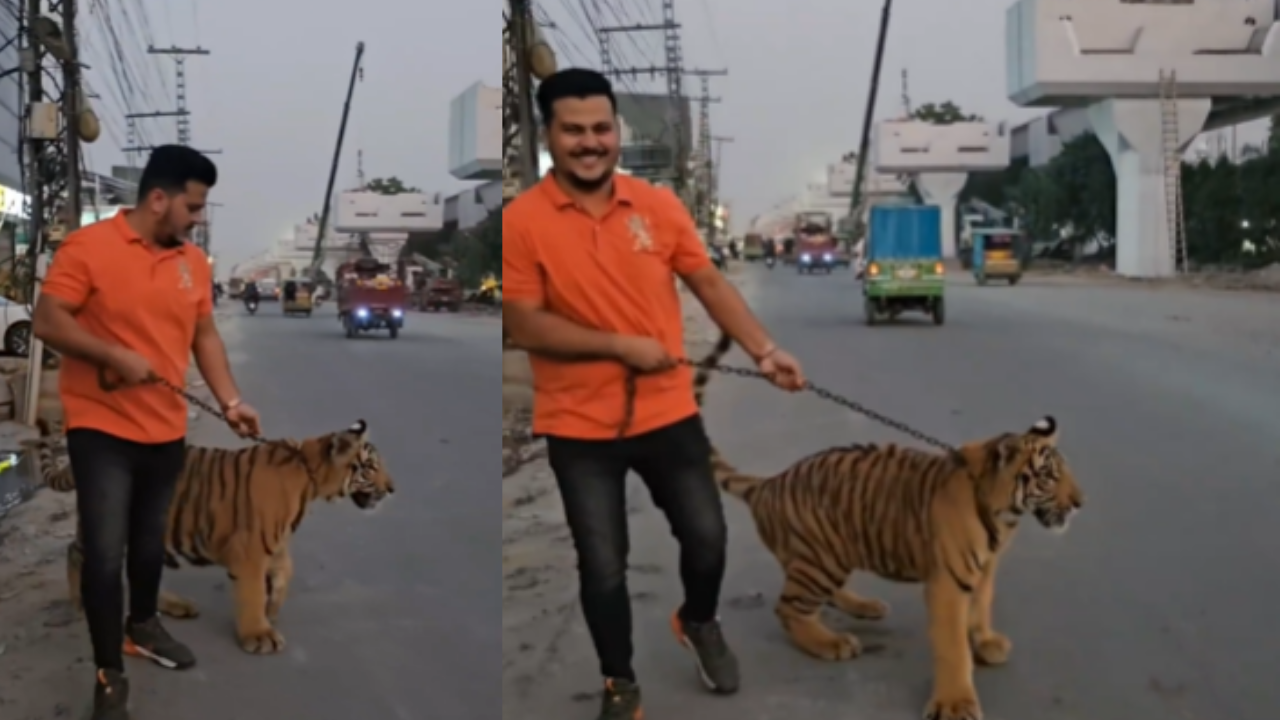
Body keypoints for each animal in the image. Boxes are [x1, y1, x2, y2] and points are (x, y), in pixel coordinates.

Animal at [22, 417, 391, 653]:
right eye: (371, 467)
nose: (392, 489)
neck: (310, 477)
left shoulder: (273, 544)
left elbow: (285, 572)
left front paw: (272, 608)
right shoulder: (250, 551)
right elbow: (251, 594)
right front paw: (259, 635)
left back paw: (174, 606)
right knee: (75, 552)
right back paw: (79, 603)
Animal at [696, 335, 1085, 717]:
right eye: (1049, 477)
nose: (1081, 502)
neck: (1003, 516)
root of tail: (769, 482)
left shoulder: (985, 568)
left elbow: (981, 606)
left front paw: (986, 641)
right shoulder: (948, 582)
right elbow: (952, 646)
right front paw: (955, 703)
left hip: (829, 554)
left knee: (821, 595)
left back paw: (865, 606)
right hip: (821, 558)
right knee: (789, 608)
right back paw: (831, 643)